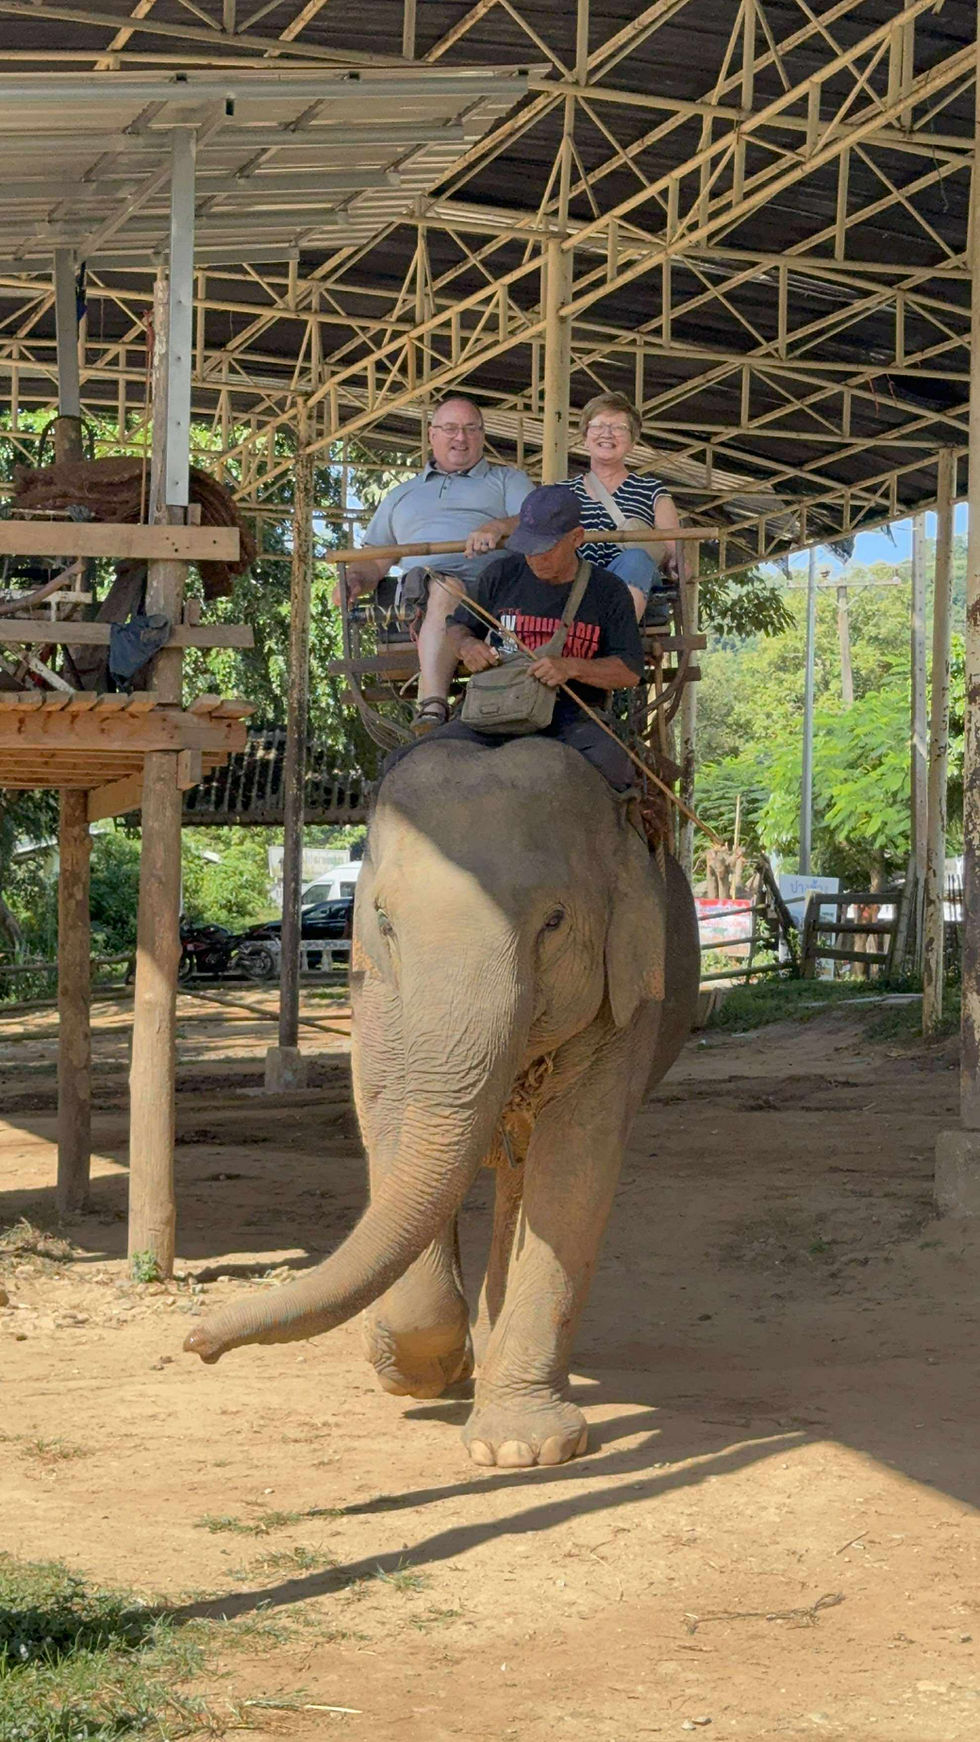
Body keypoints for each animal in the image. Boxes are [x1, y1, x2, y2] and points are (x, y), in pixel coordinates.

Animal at [185, 736, 700, 1468]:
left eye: (554, 922)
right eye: (383, 920)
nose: (196, 1341)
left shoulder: (628, 999)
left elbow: (576, 1165)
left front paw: (518, 1449)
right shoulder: (373, 990)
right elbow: (390, 1121)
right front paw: (409, 1371)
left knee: (523, 1181)